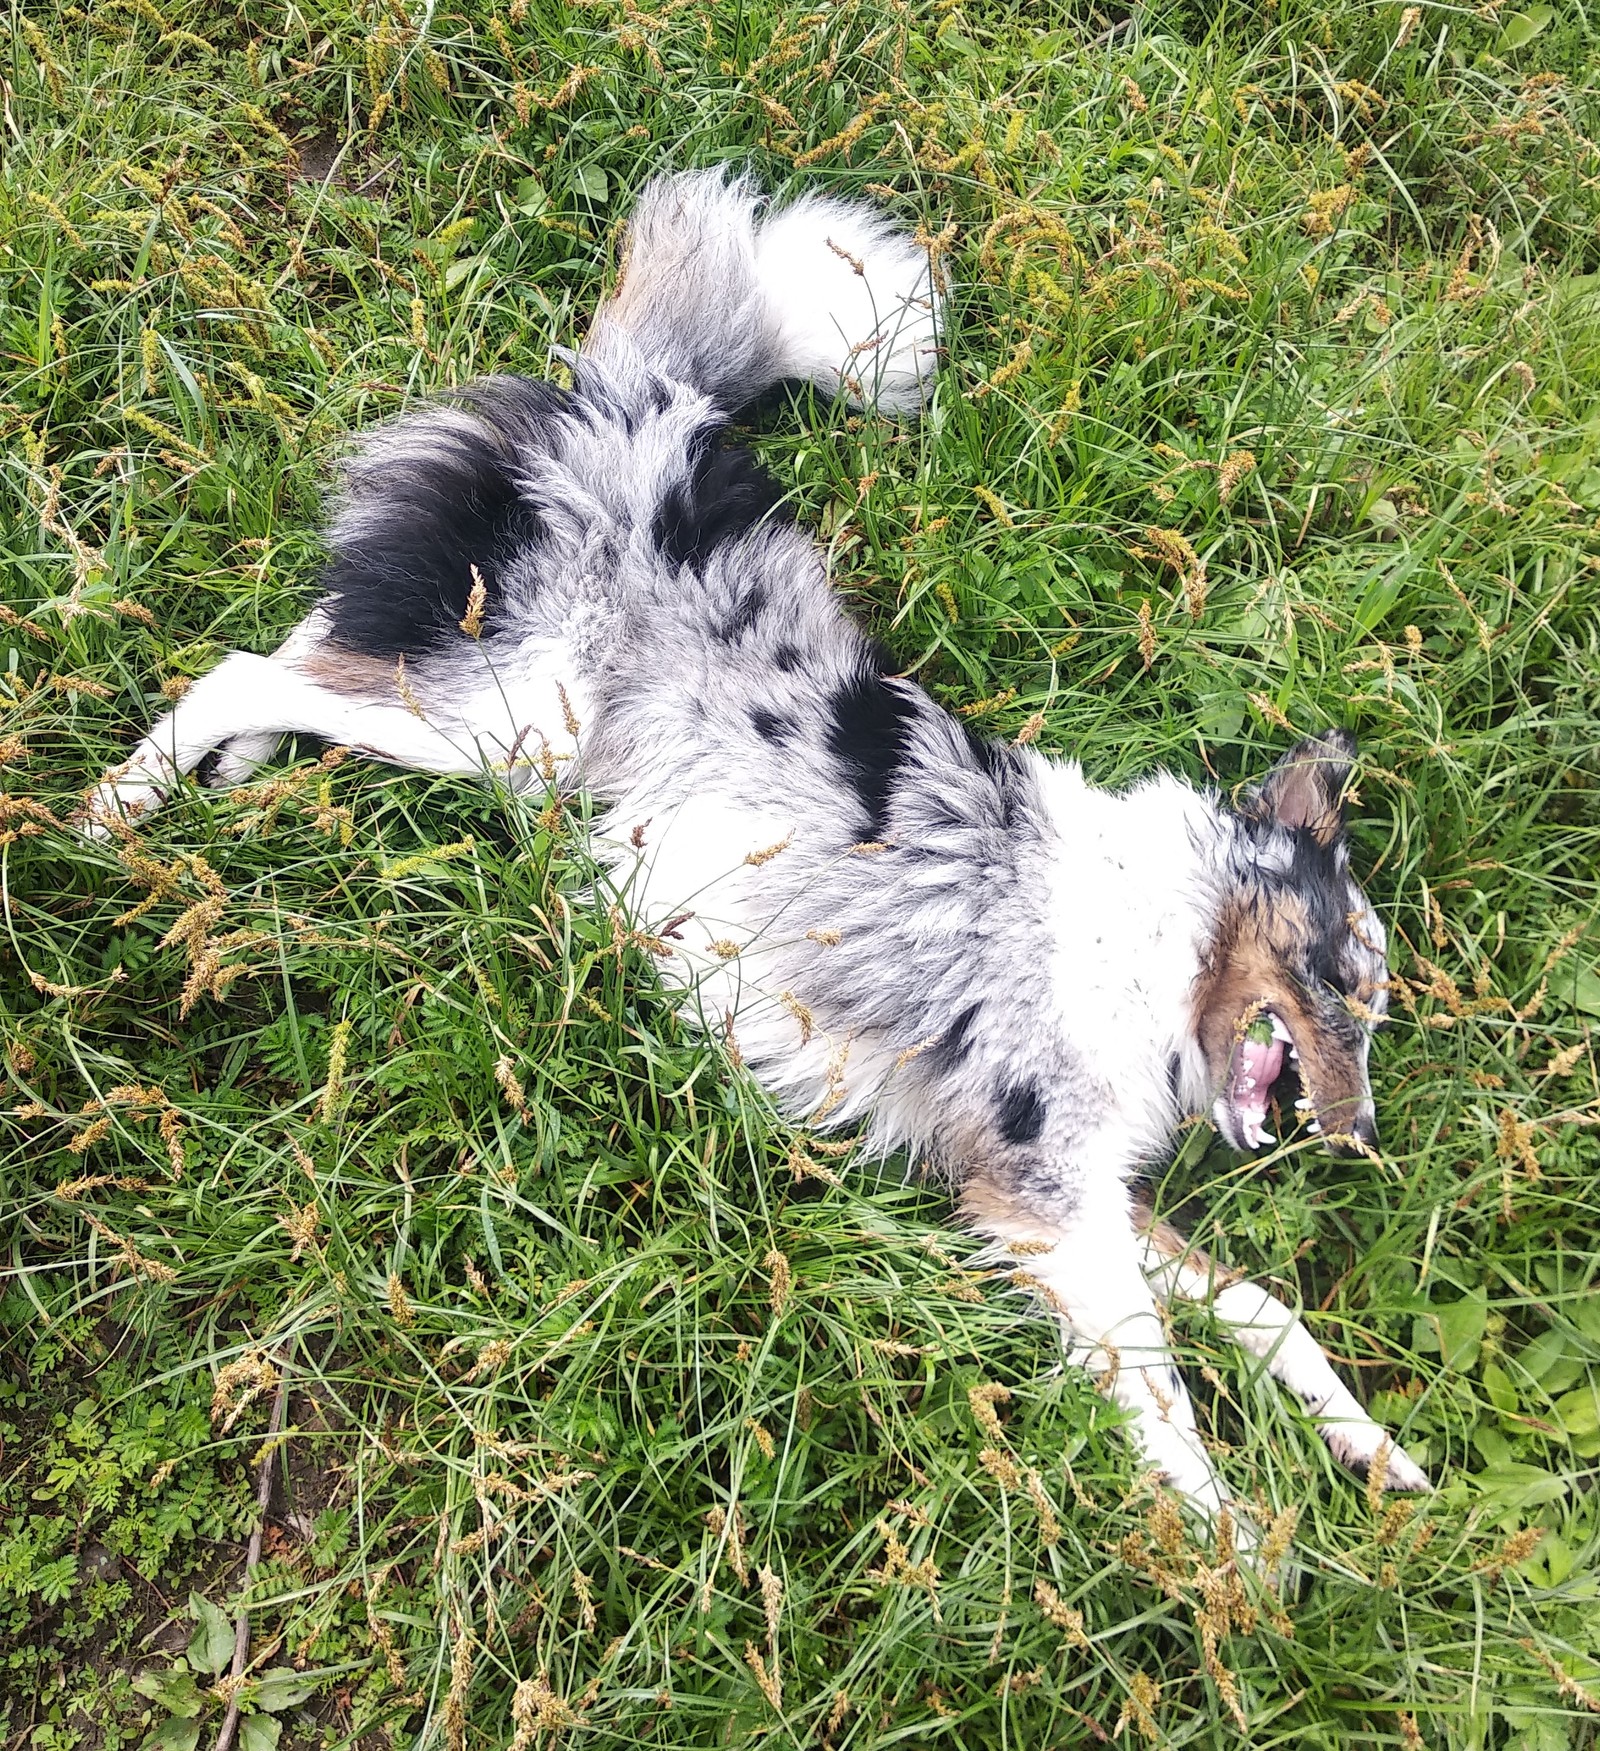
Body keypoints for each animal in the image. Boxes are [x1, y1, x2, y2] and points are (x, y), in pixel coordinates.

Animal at [93, 170, 1428, 1526]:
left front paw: (1369, 1450)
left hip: (480, 687)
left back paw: (239, 768)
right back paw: (115, 810)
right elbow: (1168, 1403)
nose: (1363, 1137)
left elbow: (1263, 1312)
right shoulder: (1045, 1194)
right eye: (1339, 980)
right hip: (519, 722)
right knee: (243, 666)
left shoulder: (1060, 1185)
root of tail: (652, 396)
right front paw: (1229, 1556)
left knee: (318, 634)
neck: (1166, 933)